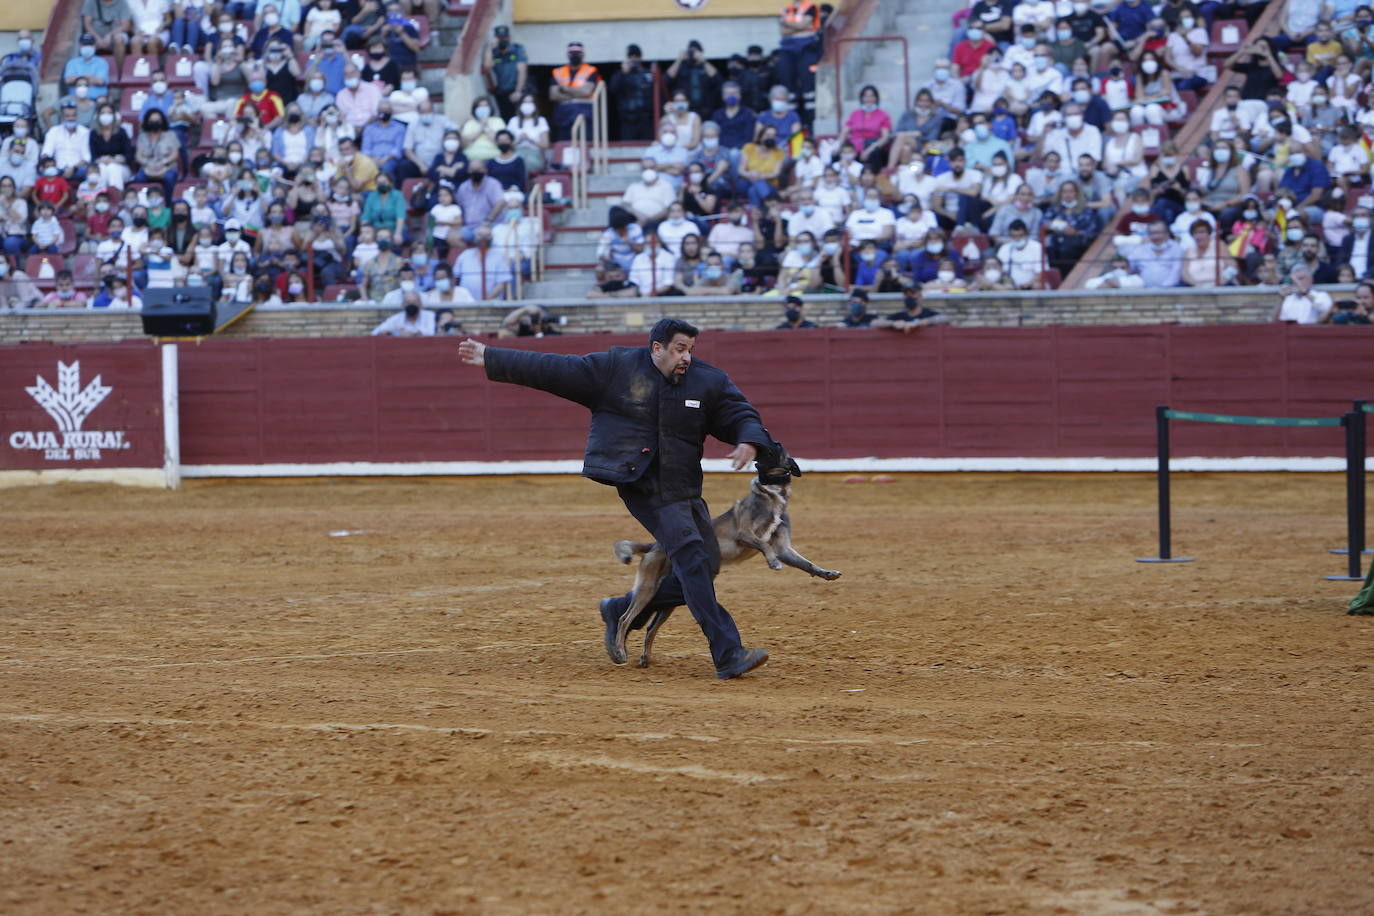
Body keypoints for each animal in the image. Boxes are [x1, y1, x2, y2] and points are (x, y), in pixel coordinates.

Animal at [610, 450, 835, 670]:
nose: (755, 462)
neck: (773, 495)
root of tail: (653, 545)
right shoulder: (744, 534)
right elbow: (765, 546)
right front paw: (773, 562)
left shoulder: (783, 548)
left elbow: (806, 563)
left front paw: (826, 573)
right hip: (648, 588)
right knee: (624, 619)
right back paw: (619, 650)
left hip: (669, 599)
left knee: (651, 627)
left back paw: (645, 657)